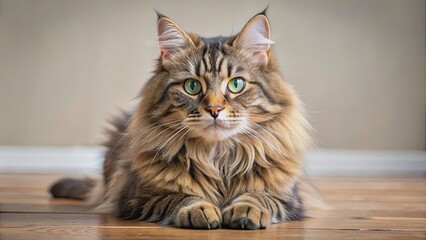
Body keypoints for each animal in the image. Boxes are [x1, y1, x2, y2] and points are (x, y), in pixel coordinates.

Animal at [50, 9, 316, 231]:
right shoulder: (135, 196)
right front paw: (200, 209)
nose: (214, 109)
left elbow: (259, 196)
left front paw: (247, 210)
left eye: (236, 84)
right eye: (192, 86)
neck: (218, 157)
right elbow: (178, 197)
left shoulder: (290, 199)